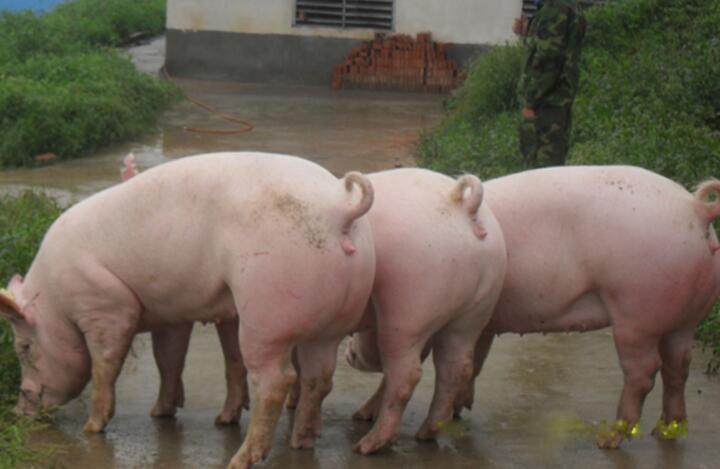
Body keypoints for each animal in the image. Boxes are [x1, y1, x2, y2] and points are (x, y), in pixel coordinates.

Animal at [0, 151, 376, 469]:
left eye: (24, 347)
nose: (18, 409)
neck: (55, 299)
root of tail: (341, 208)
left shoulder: (107, 306)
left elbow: (104, 366)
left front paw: (91, 428)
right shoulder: (170, 313)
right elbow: (168, 360)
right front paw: (159, 413)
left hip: (266, 313)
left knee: (276, 380)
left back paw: (240, 460)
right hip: (331, 322)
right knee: (318, 377)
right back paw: (294, 441)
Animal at [339, 168, 507, 453]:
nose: (348, 349)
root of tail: (462, 206)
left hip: (408, 306)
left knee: (407, 374)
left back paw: (367, 445)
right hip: (475, 308)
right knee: (456, 367)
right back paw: (426, 434)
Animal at [360, 165, 720, 449]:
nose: (351, 353)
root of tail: (696, 209)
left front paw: (363, 416)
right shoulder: (483, 322)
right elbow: (473, 363)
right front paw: (461, 409)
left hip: (636, 312)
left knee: (643, 373)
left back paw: (608, 440)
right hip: (686, 317)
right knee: (678, 366)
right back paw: (666, 431)